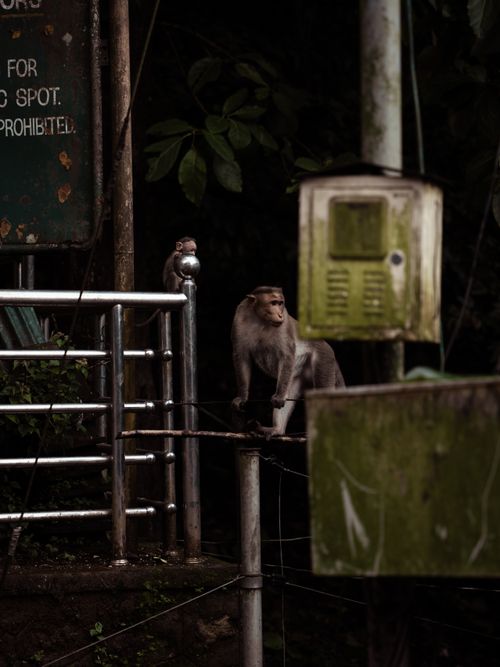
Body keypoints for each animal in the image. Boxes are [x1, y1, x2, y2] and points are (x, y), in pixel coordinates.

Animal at [231, 286, 345, 437]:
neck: (260, 320)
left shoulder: (283, 327)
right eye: (273, 303)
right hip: (297, 375)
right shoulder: (239, 320)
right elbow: (241, 357)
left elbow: (286, 355)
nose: (280, 315)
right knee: (289, 391)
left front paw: (278, 397)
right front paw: (242, 397)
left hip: (324, 358)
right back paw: (277, 429)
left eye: (280, 303)